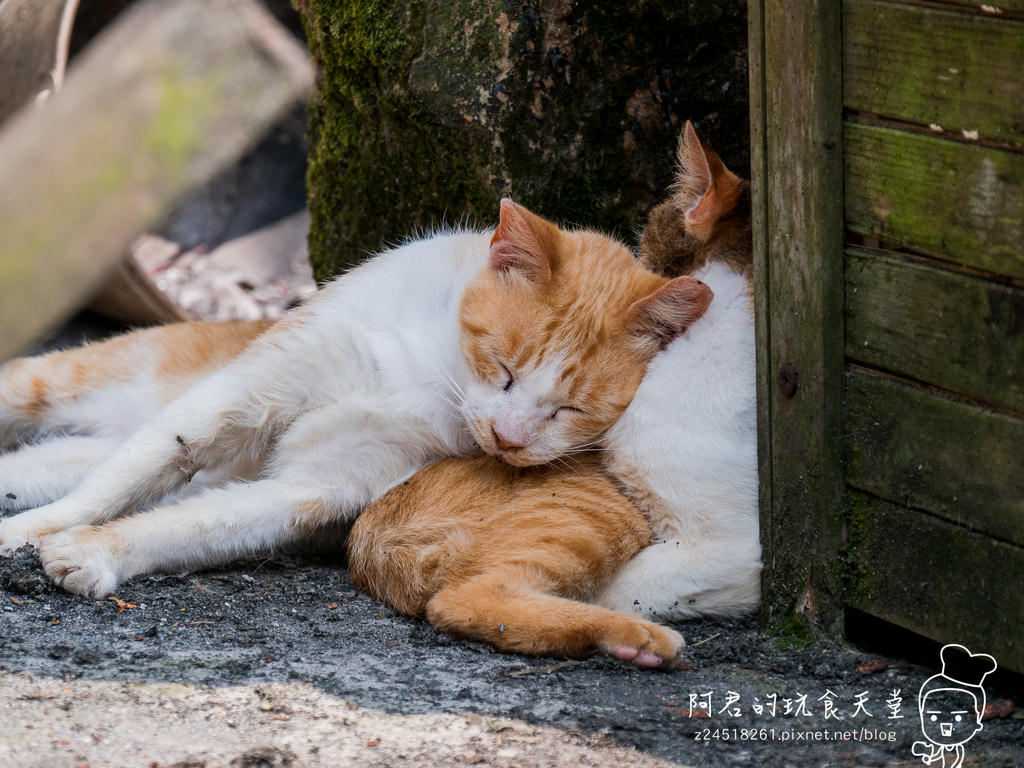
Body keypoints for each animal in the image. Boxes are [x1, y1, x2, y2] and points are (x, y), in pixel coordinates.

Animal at [0, 201, 712, 606]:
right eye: (504, 369)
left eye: (570, 411)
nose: (509, 439)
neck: (435, 377)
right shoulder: (240, 394)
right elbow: (118, 485)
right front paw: (39, 533)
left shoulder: (318, 488)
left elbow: (193, 525)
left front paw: (97, 553)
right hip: (65, 381)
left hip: (73, 447)